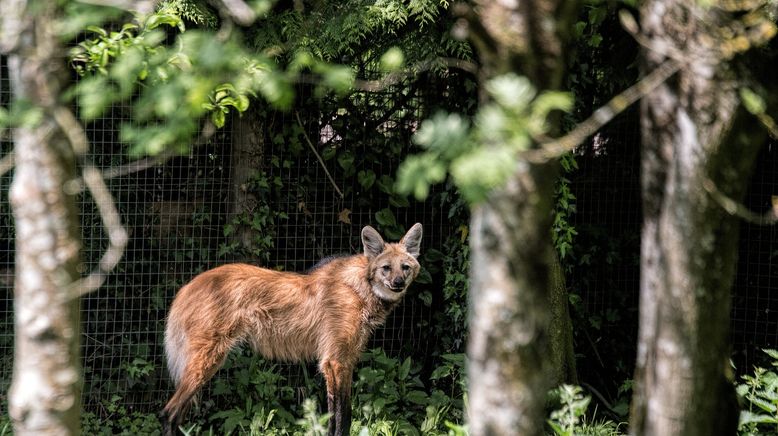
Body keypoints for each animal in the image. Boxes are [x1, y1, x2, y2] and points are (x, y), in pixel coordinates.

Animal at [160, 223, 422, 434]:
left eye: (405, 267)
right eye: (386, 268)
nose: (398, 283)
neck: (361, 288)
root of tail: (188, 286)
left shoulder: (342, 360)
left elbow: (336, 415)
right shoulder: (335, 361)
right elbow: (341, 416)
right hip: (207, 359)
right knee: (169, 413)